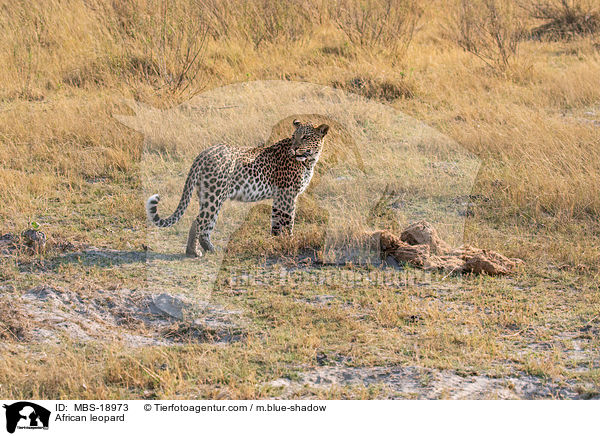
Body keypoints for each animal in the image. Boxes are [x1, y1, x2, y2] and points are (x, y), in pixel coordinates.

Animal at [147, 119, 330, 258]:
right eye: (294, 136)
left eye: (305, 137)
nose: (295, 148)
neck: (309, 160)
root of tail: (204, 153)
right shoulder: (287, 195)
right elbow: (287, 222)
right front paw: (289, 242)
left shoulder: (280, 197)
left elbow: (276, 223)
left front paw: (276, 242)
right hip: (214, 195)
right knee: (199, 222)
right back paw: (193, 252)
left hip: (209, 195)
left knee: (205, 225)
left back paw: (211, 250)